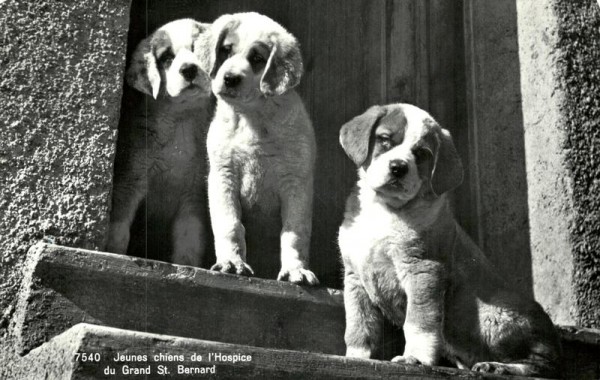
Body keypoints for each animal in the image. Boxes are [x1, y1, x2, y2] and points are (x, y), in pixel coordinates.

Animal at [106, 18, 213, 268]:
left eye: (199, 49)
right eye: (167, 58)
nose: (189, 69)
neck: (179, 119)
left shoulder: (194, 194)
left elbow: (189, 241)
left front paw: (187, 267)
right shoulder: (129, 180)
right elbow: (118, 230)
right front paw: (113, 255)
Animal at [204, 11, 318, 284]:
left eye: (257, 58)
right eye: (225, 49)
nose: (230, 78)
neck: (252, 116)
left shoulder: (296, 183)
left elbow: (294, 233)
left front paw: (295, 269)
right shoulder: (223, 175)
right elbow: (230, 224)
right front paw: (231, 262)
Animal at [338, 103, 564, 378]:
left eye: (421, 153)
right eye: (384, 140)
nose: (398, 167)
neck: (385, 209)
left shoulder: (424, 271)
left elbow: (419, 322)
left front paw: (415, 358)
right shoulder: (355, 278)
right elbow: (359, 326)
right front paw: (355, 357)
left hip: (493, 314)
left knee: (543, 366)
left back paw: (498, 366)